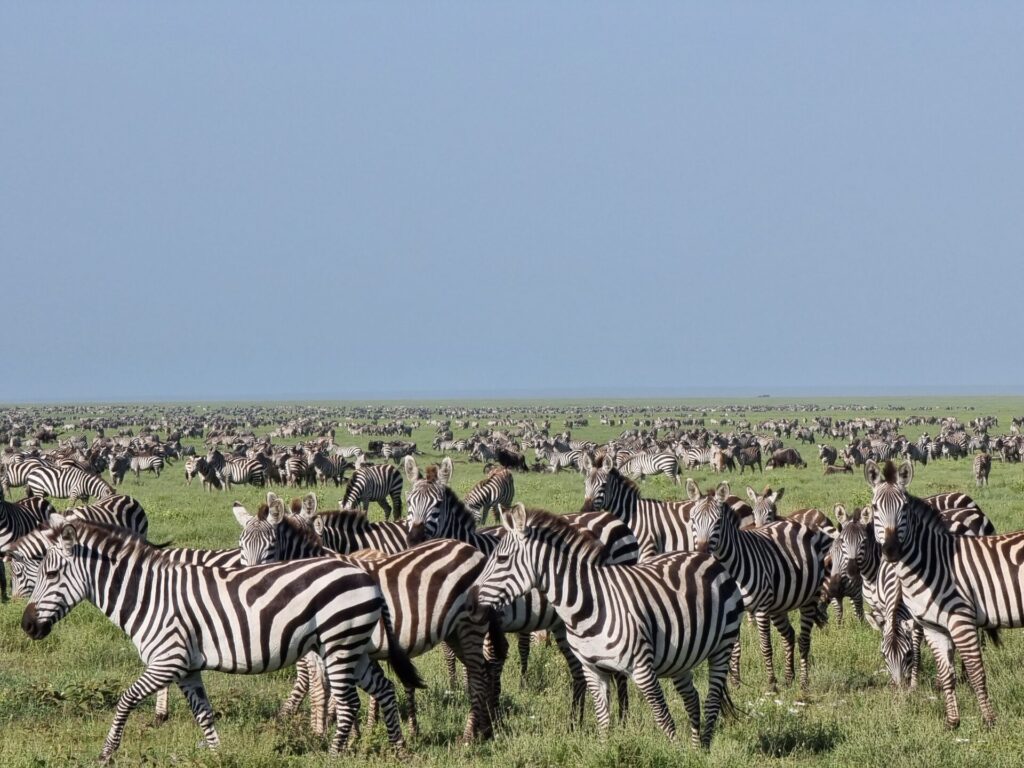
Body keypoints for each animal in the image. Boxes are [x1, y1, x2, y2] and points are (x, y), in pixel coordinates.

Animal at [21, 516, 423, 759]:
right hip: (352, 647)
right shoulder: (186, 668)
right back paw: (400, 749)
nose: (26, 625)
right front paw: (217, 755)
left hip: (340, 643)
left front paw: (107, 753)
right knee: (385, 688)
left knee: (350, 703)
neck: (149, 595)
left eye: (51, 573)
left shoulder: (167, 660)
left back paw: (334, 756)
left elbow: (125, 701)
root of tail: (365, 575)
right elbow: (204, 713)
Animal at [467, 504, 744, 748]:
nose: (469, 599)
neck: (589, 605)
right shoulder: (593, 669)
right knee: (692, 699)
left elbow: (663, 719)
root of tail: (705, 557)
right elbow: (602, 720)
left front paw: (677, 754)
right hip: (680, 658)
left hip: (723, 647)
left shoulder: (642, 668)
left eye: (502, 558)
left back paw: (703, 750)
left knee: (712, 700)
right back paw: (696, 747)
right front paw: (605, 748)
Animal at [687, 479, 831, 692]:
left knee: (804, 639)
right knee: (789, 635)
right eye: (693, 520)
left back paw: (803, 683)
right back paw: (789, 677)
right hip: (779, 604)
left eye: (718, 522)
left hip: (809, 598)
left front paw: (771, 683)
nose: (702, 552)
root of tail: (793, 522)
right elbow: (735, 649)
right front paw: (736, 683)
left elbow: (765, 646)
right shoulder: (734, 611)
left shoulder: (762, 609)